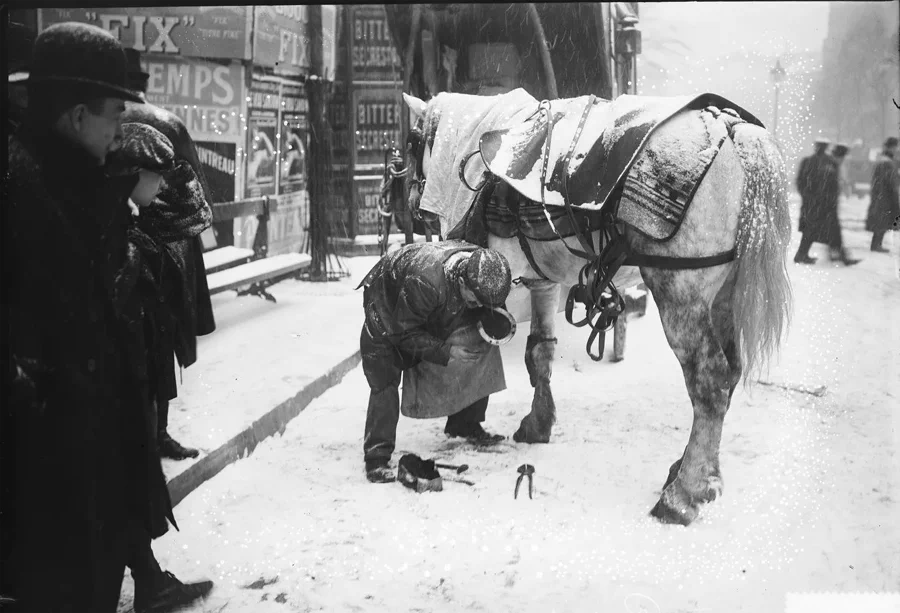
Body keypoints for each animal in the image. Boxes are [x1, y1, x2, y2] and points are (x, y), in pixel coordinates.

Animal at [404, 91, 792, 524]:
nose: (413, 205)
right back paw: (696, 473)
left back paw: (683, 493)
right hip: (723, 297)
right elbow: (538, 353)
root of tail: (729, 128)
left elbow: (475, 346)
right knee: (731, 372)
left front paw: (464, 420)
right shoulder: (542, 282)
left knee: (709, 382)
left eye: (413, 142)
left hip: (680, 296)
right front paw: (538, 424)